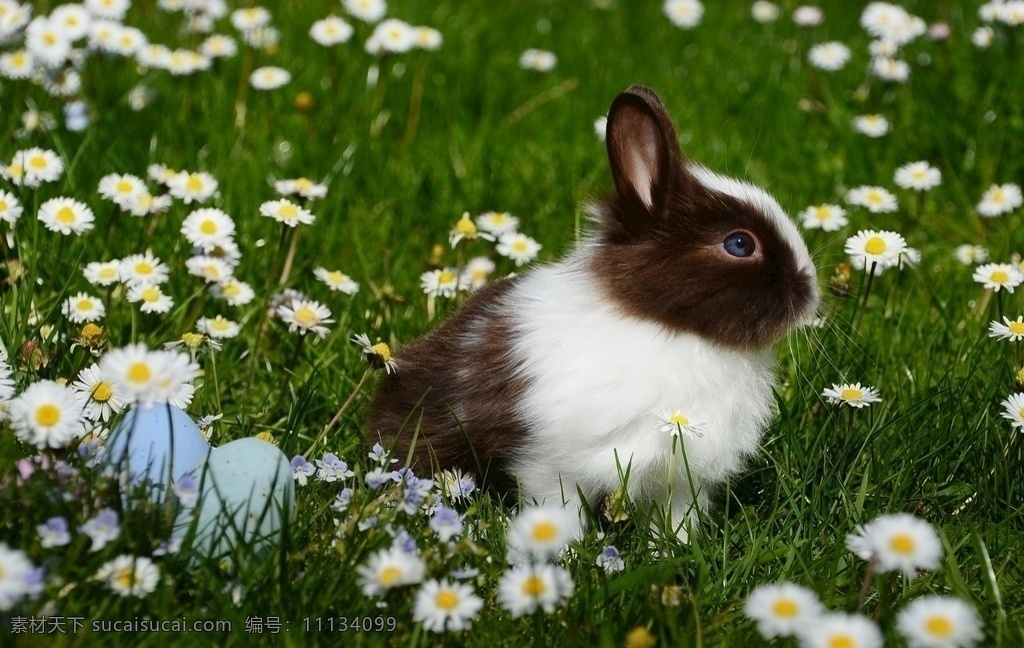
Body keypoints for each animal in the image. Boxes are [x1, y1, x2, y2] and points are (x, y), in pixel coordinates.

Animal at [366, 85, 815, 540]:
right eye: (740, 244)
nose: (810, 293)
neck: (668, 327)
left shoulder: (681, 478)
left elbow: (675, 519)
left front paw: (673, 548)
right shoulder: (550, 464)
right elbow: (557, 510)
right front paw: (563, 549)